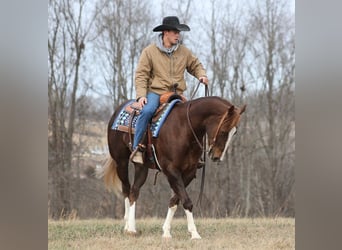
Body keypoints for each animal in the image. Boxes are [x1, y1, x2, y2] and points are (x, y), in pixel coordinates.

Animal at [101, 95, 246, 238]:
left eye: (235, 132)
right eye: (224, 130)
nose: (217, 157)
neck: (184, 128)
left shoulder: (188, 172)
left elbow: (174, 200)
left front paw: (166, 231)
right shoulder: (171, 171)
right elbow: (186, 201)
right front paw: (194, 233)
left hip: (141, 167)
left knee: (134, 191)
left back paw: (131, 227)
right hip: (121, 162)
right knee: (126, 189)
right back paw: (129, 228)